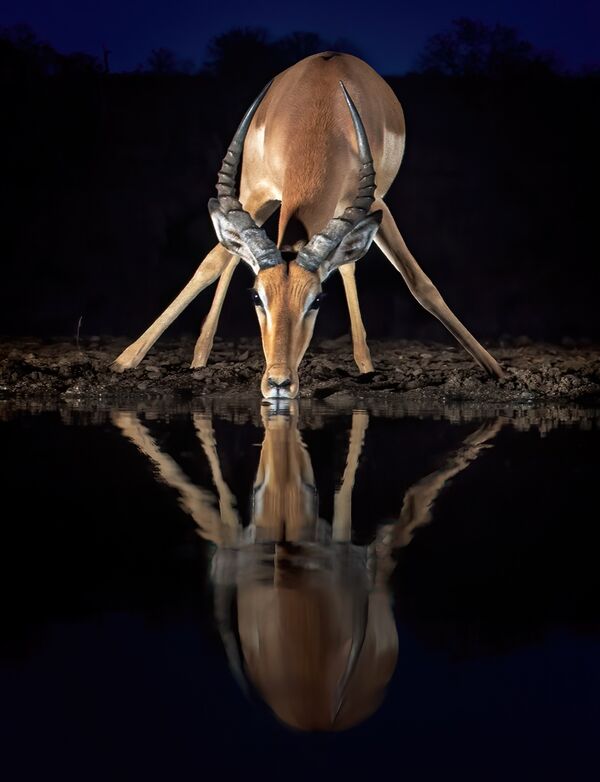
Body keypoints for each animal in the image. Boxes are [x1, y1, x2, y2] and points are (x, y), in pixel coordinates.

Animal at [111, 52, 504, 399]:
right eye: (257, 296)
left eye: (316, 300)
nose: (279, 383)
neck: (321, 112)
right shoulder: (256, 192)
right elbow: (212, 263)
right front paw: (124, 361)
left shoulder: (376, 203)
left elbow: (420, 283)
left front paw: (494, 369)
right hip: (256, 193)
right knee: (229, 256)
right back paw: (198, 356)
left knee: (347, 265)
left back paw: (364, 363)